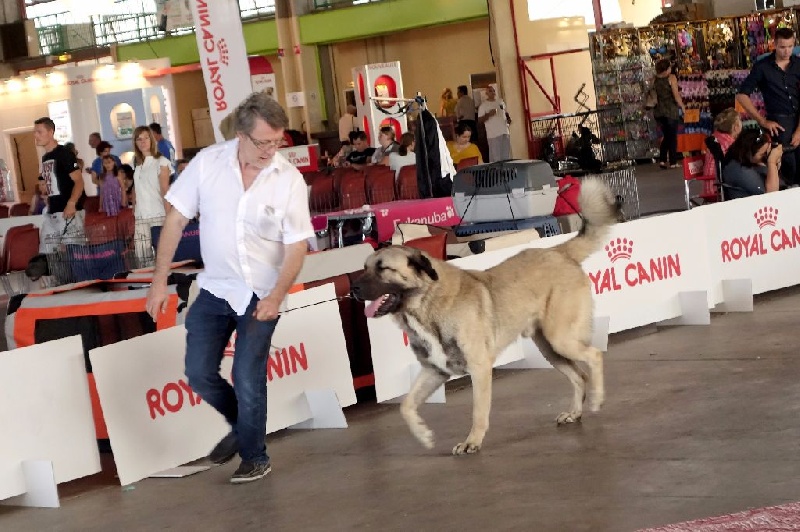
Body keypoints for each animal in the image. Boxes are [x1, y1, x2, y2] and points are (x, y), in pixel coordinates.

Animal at [350, 179, 621, 455]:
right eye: (364, 268)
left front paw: (472, 441)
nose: (353, 288)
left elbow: (478, 412)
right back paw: (575, 412)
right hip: (549, 348)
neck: (427, 301)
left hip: (560, 339)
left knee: (595, 356)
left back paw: (597, 399)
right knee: (579, 377)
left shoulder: (479, 369)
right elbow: (405, 406)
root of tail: (558, 252)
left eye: (383, 269)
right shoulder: (434, 371)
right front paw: (424, 435)